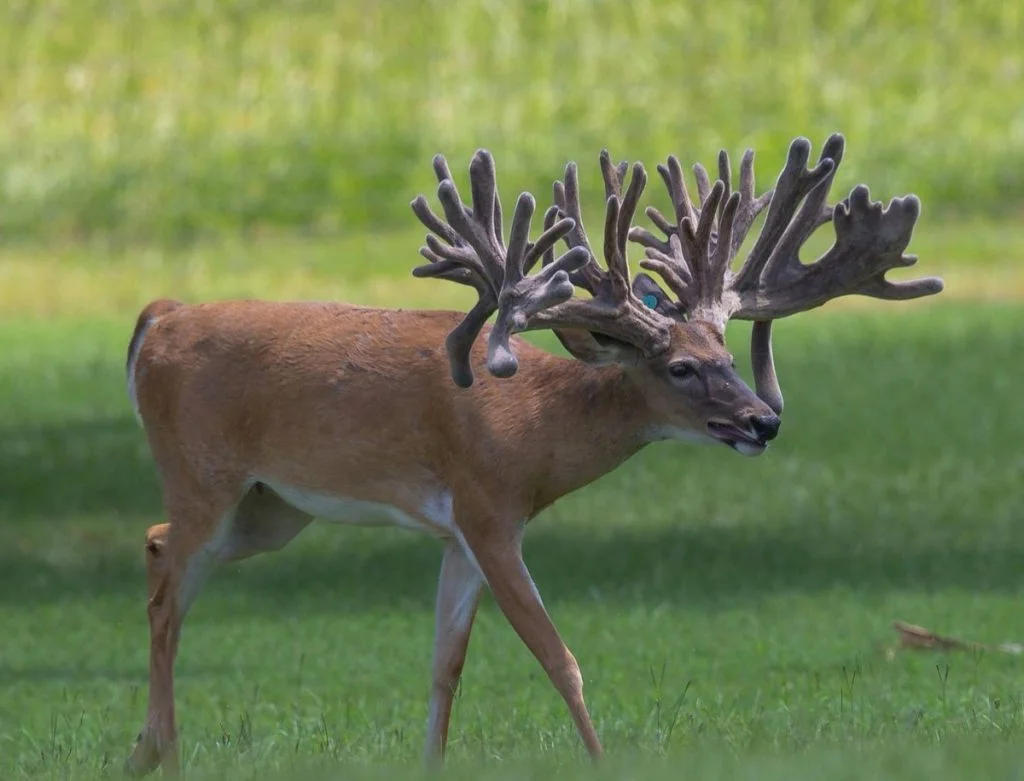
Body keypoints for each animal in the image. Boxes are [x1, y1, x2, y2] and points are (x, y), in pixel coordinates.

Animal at [121, 136, 942, 777]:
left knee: (157, 546)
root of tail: (161, 316)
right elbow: (559, 658)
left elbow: (445, 665)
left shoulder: (459, 533)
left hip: (273, 509)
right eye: (680, 366)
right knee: (167, 578)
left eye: (729, 354)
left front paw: (430, 764)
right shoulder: (488, 510)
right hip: (202, 473)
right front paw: (603, 761)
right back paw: (167, 750)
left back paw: (141, 747)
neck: (535, 428)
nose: (762, 420)